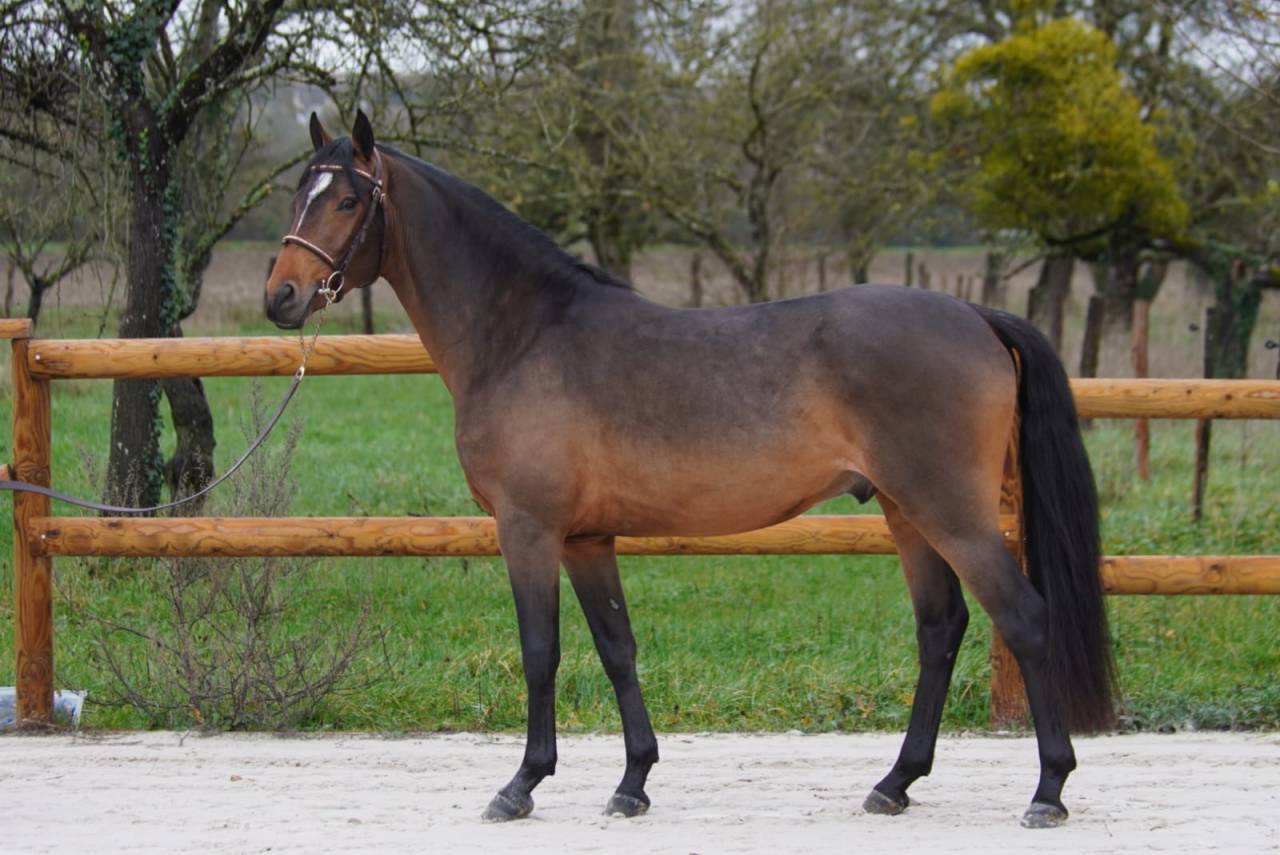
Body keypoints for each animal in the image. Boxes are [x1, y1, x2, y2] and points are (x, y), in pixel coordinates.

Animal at [265, 111, 1115, 828]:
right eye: (298, 192)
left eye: (347, 199)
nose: (282, 295)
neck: (526, 334)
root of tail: (975, 315)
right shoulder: (586, 539)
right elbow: (617, 647)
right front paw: (632, 781)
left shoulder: (529, 528)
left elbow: (542, 651)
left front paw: (521, 784)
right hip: (906, 512)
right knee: (940, 629)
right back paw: (894, 782)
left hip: (952, 512)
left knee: (1024, 617)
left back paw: (1047, 789)